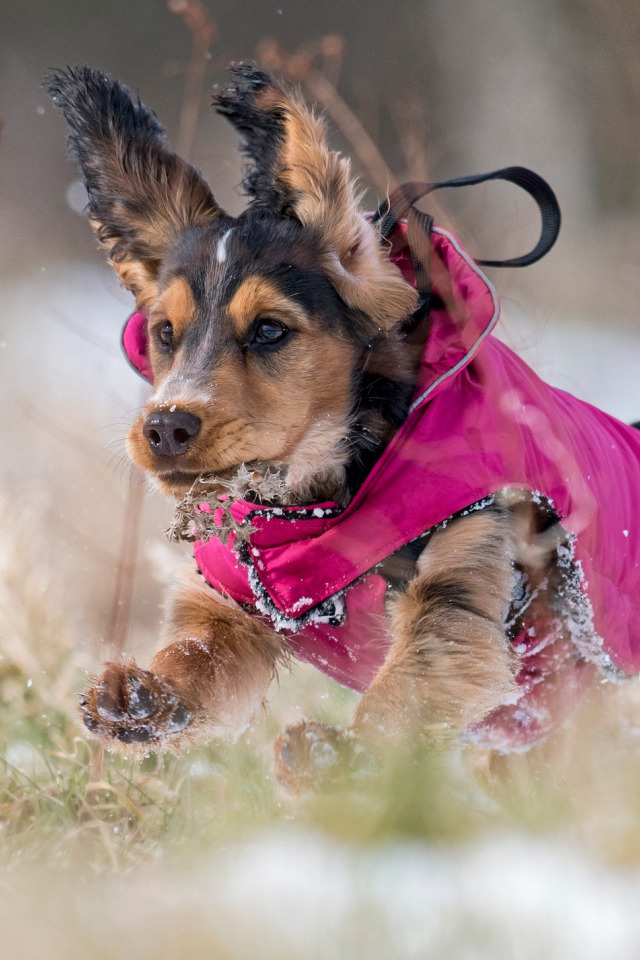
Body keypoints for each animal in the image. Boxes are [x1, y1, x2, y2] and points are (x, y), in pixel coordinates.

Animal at [46, 63, 640, 792]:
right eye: (164, 332)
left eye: (270, 330)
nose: (164, 429)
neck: (315, 500)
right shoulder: (233, 598)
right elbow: (201, 652)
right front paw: (142, 697)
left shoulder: (465, 570)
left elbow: (413, 680)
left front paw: (342, 756)